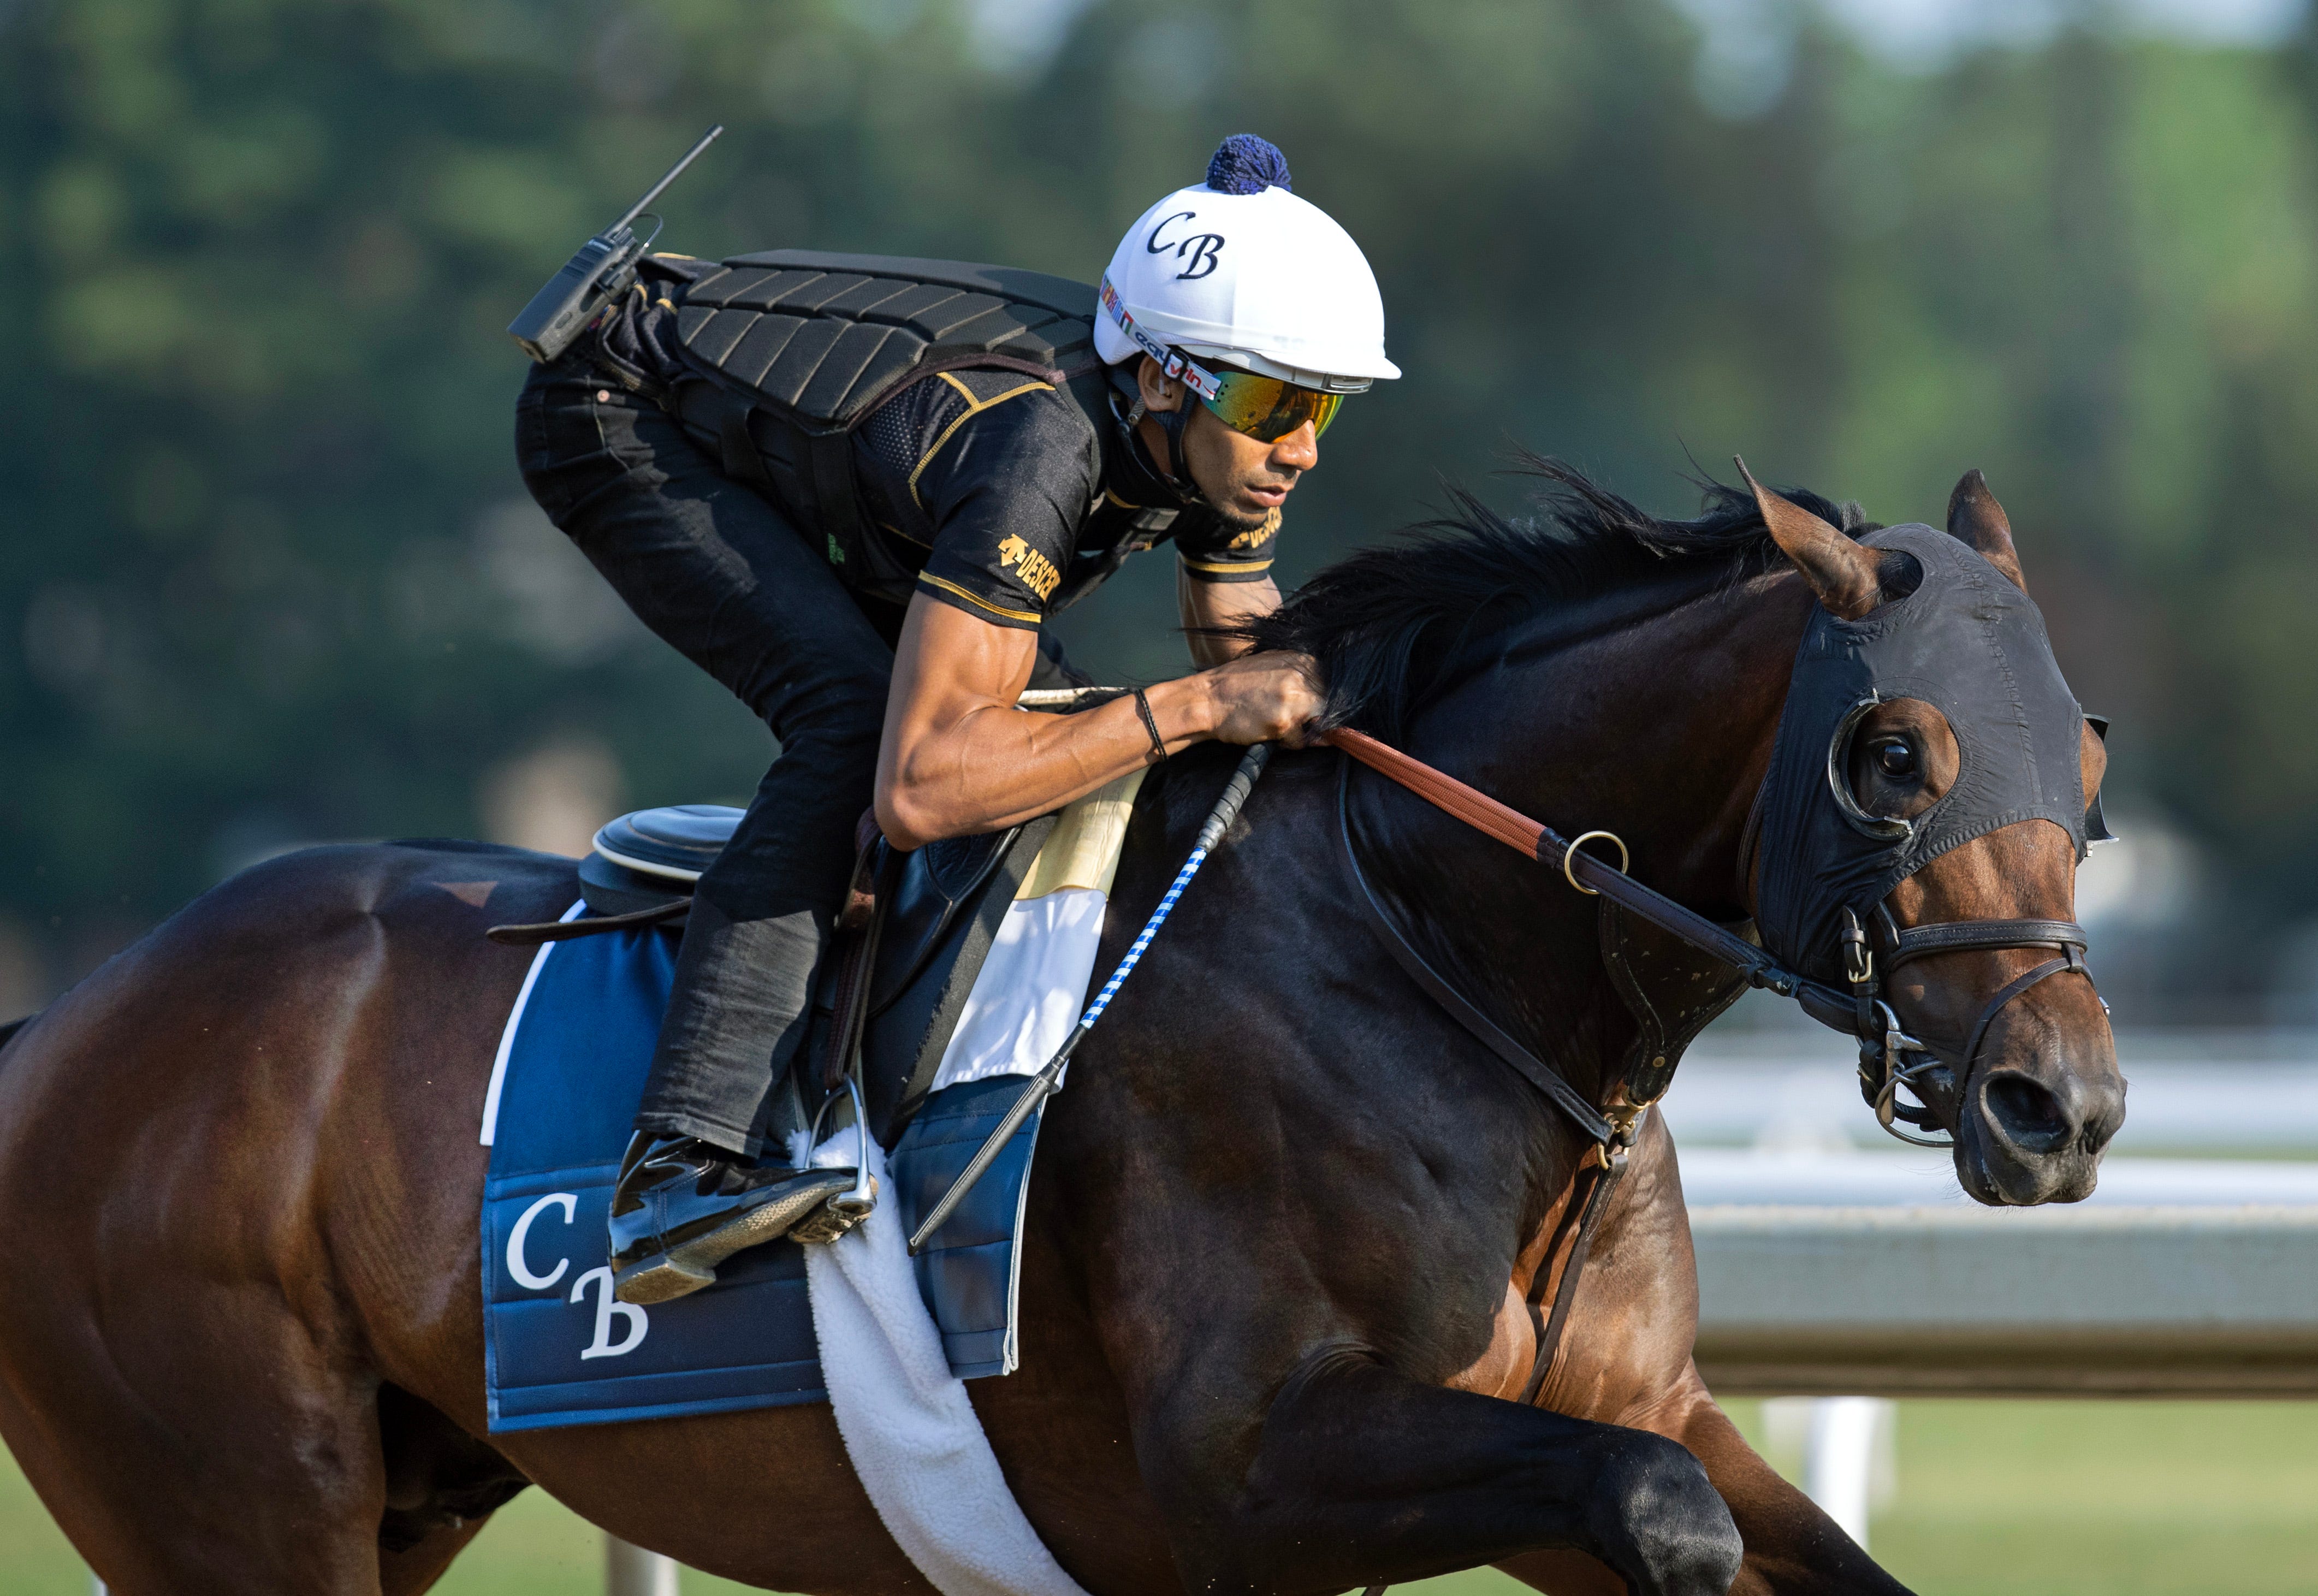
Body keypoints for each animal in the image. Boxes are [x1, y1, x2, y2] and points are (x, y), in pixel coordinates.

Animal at [0, 461, 2123, 1593]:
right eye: (1891, 750)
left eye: (2086, 756)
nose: (2065, 1100)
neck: (1434, 949)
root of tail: (64, 1021)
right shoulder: (1248, 1462)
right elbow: (1660, 1520)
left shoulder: (1617, 1407)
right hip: (226, 1493)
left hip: (405, 1479)